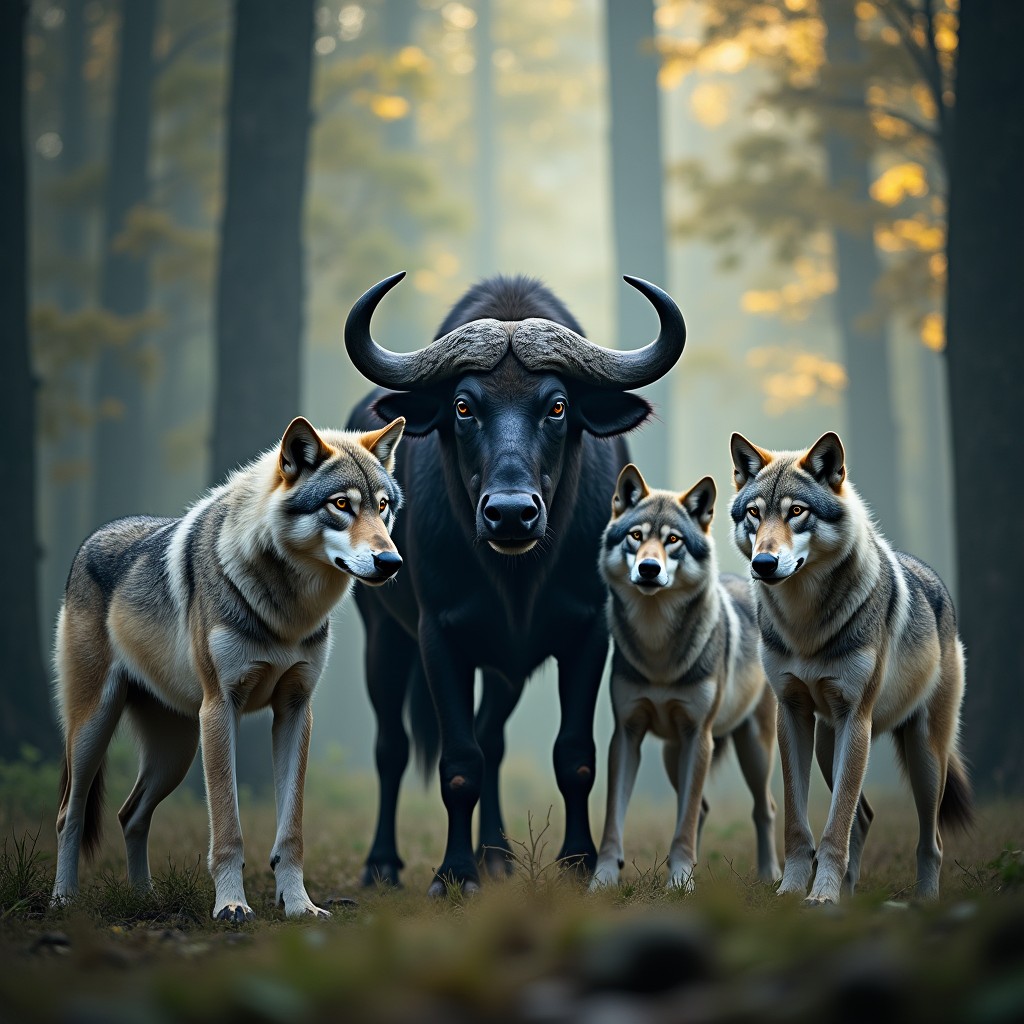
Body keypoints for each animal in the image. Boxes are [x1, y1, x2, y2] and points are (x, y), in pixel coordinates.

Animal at [51, 415, 405, 921]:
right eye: (341, 505)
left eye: (382, 506)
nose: (391, 561)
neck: (287, 611)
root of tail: (93, 538)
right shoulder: (222, 708)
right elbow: (228, 828)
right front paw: (232, 906)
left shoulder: (295, 709)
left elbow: (291, 833)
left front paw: (299, 906)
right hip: (94, 731)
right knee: (70, 813)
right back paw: (63, 899)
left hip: (174, 754)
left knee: (130, 814)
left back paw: (144, 898)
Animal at [345, 271, 686, 895]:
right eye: (463, 405)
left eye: (557, 405)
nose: (509, 513)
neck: (517, 579)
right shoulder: (438, 636)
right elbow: (458, 763)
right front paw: (454, 873)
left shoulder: (588, 633)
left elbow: (574, 755)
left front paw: (579, 861)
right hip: (384, 633)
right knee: (392, 747)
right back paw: (383, 863)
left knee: (493, 738)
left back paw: (498, 854)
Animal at [591, 463, 781, 892]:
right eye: (636, 536)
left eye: (673, 540)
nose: (649, 568)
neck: (658, 647)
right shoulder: (626, 734)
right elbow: (613, 821)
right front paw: (603, 878)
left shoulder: (700, 735)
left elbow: (685, 821)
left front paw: (679, 881)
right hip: (672, 754)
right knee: (702, 808)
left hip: (752, 749)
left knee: (764, 807)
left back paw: (771, 875)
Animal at [729, 430, 973, 905]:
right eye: (754, 513)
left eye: (797, 512)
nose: (763, 564)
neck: (805, 623)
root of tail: (932, 577)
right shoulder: (792, 714)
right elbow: (798, 823)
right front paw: (792, 891)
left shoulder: (854, 716)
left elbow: (835, 826)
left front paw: (821, 897)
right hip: (830, 745)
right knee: (864, 817)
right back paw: (850, 893)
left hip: (922, 755)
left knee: (930, 839)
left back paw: (923, 901)